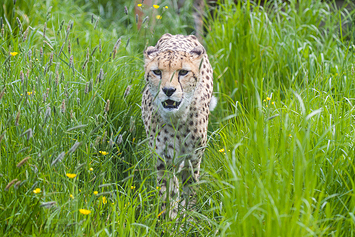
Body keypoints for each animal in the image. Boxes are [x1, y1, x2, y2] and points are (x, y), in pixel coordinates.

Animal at [141, 32, 214, 218]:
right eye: (157, 72)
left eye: (183, 72)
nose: (168, 90)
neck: (177, 120)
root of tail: (177, 34)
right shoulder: (164, 161)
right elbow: (169, 193)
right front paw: (171, 219)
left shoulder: (193, 159)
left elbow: (190, 189)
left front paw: (188, 216)